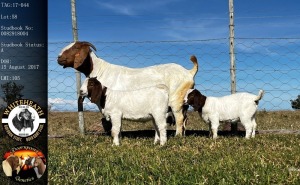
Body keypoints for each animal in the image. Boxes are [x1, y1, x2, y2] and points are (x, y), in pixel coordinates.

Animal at [58, 41, 199, 136]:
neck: (100, 70)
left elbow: (113, 123)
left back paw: (177, 136)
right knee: (185, 118)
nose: (59, 57)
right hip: (184, 101)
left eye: (76, 47)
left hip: (176, 99)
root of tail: (189, 72)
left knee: (179, 118)